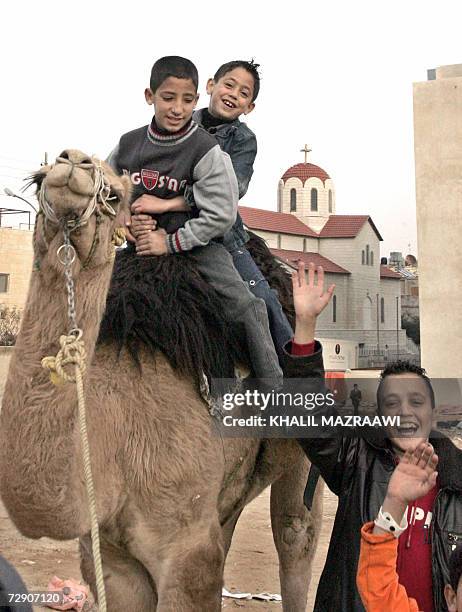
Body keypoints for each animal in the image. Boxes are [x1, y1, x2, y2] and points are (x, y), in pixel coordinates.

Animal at [0, 151, 324, 608]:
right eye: (39, 176)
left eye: (114, 195)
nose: (73, 163)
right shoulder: (110, 555)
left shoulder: (186, 549)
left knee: (295, 531)